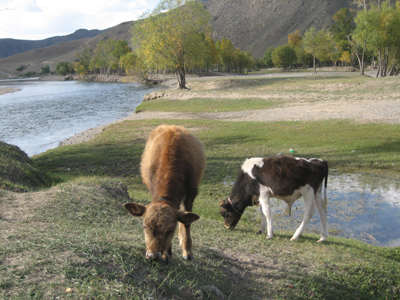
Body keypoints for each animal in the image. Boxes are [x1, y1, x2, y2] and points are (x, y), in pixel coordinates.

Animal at [124, 124, 206, 262]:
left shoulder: (191, 192)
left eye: (170, 230)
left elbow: (186, 222)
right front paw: (167, 253)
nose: (152, 255)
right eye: (144, 226)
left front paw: (187, 251)